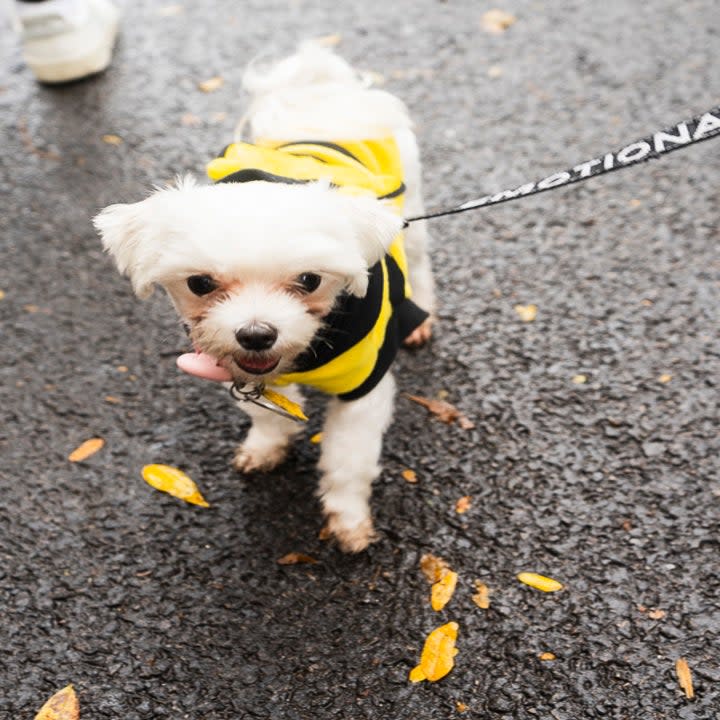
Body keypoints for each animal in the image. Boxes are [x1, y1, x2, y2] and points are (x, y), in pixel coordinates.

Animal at [93, 45, 436, 552]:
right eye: (200, 284)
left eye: (310, 280)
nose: (256, 334)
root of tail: (321, 90)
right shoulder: (234, 368)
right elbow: (268, 413)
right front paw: (266, 446)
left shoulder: (364, 389)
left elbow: (348, 461)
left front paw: (349, 519)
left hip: (409, 212)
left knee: (420, 261)